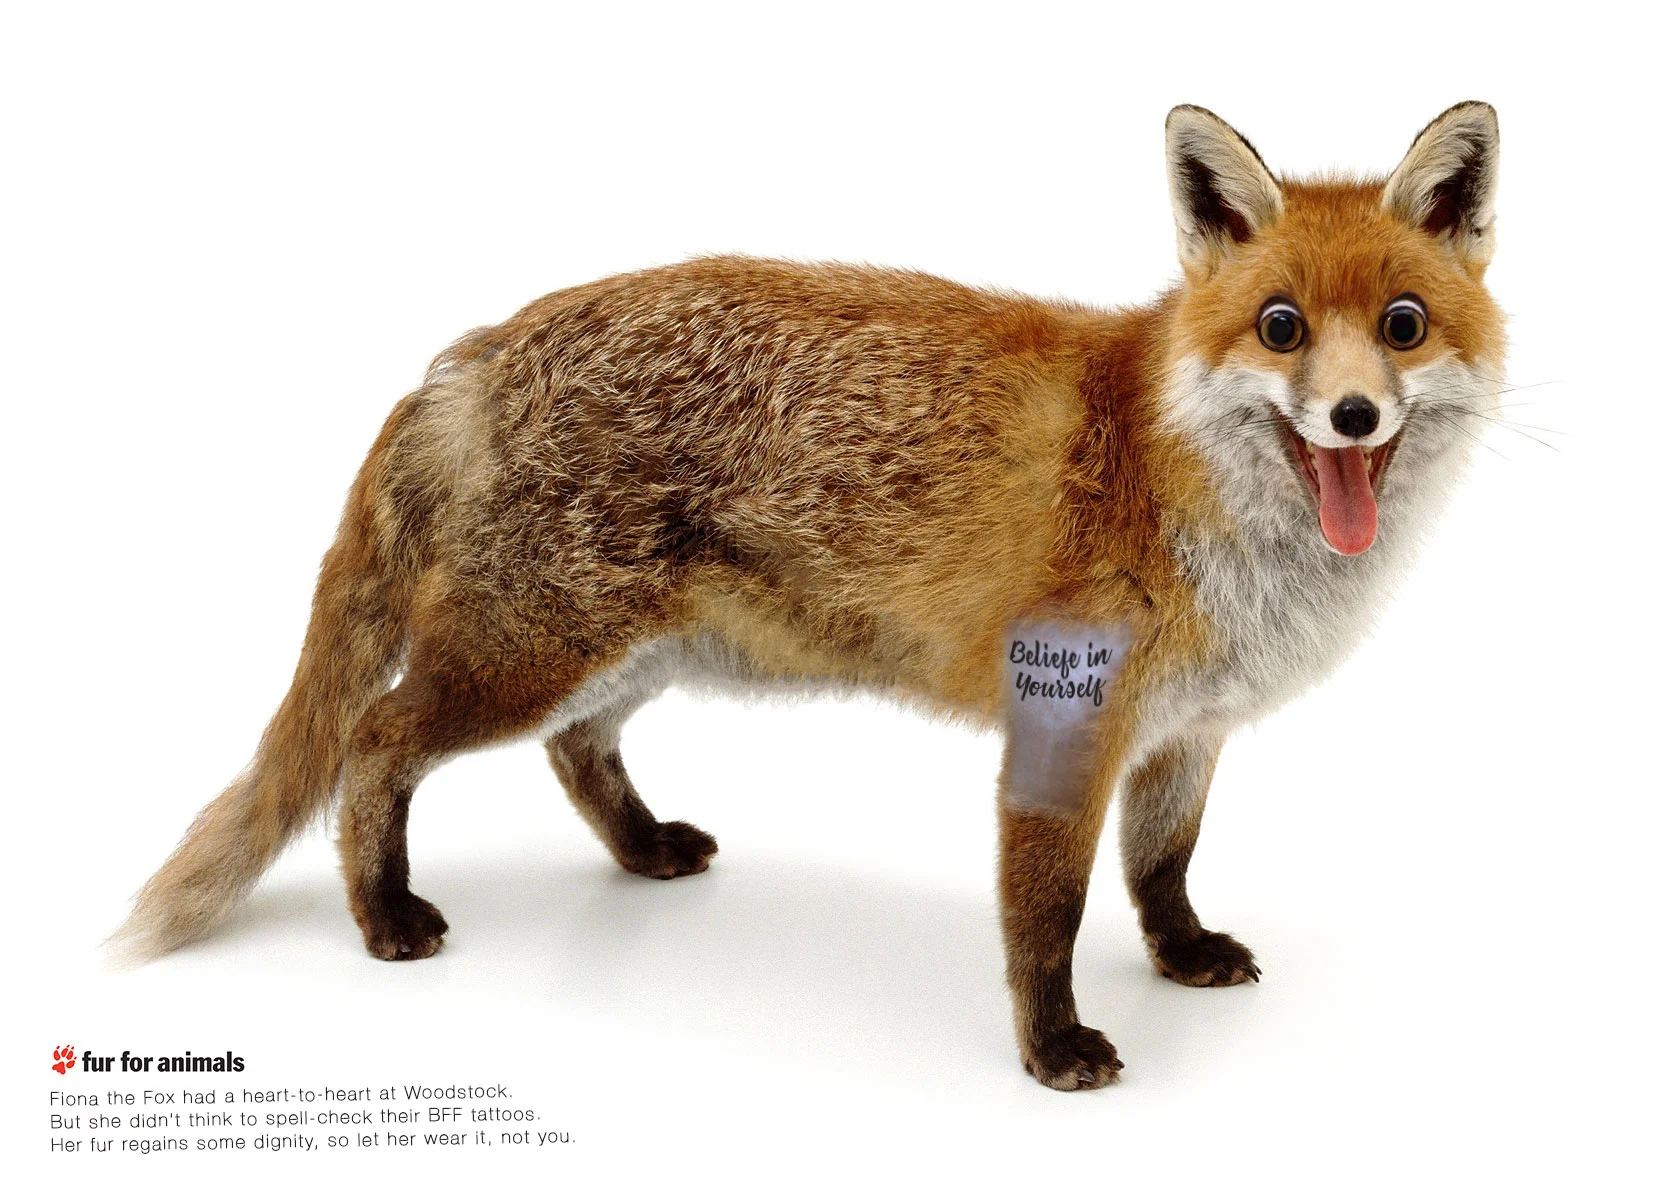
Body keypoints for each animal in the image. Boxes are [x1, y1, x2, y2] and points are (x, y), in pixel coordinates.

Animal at [117, 102, 1505, 1090]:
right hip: (533, 651)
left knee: (575, 749)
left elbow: (1161, 863)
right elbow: (1046, 908)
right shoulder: (1067, 712)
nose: (1353, 414)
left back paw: (641, 847)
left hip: (630, 653)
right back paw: (382, 912)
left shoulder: (1186, 725)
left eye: (1402, 323)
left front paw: (1178, 956)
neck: (1183, 476)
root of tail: (482, 347)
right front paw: (1053, 1047)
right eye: (1279, 326)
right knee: (375, 736)